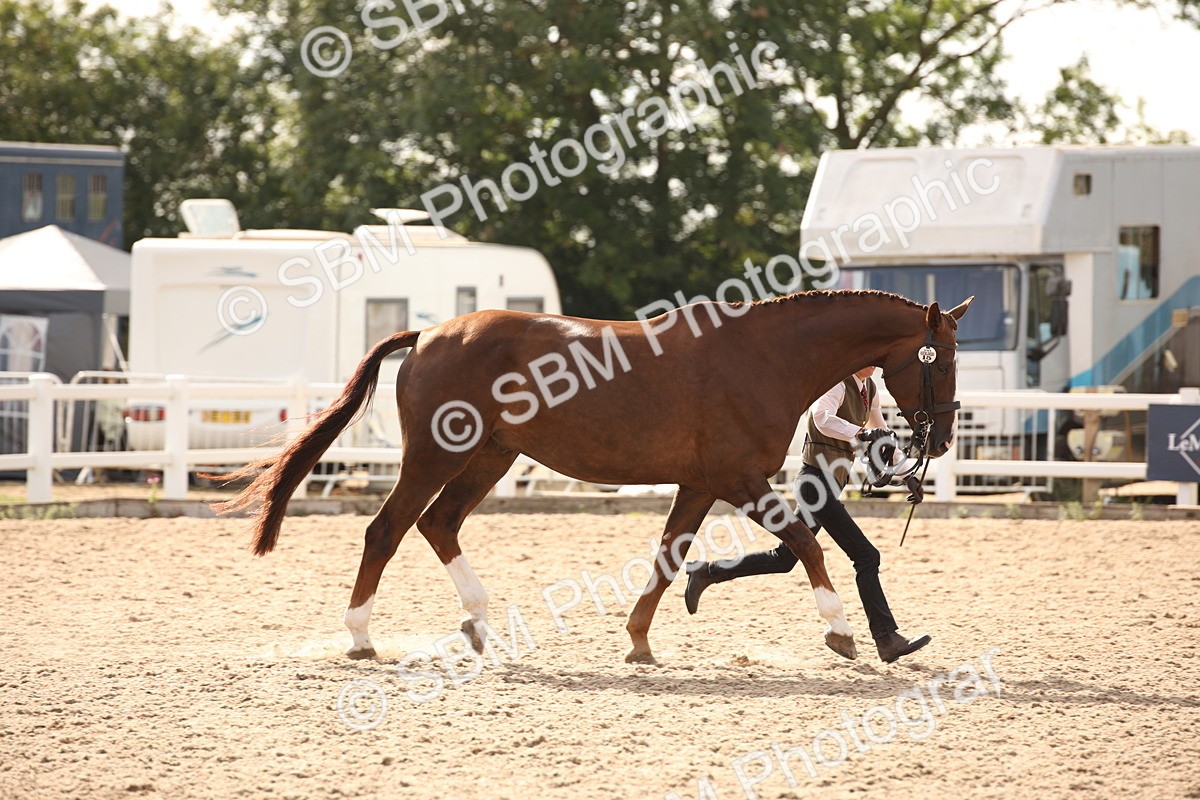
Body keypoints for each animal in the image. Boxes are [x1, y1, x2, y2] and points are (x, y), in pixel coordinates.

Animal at [214, 289, 972, 664]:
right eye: (941, 358)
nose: (941, 436)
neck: (763, 356)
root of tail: (427, 336)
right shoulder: (738, 478)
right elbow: (809, 544)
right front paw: (843, 632)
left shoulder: (701, 484)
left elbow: (670, 557)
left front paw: (638, 640)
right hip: (435, 456)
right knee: (388, 529)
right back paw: (361, 636)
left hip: (489, 457)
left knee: (438, 524)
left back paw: (479, 624)